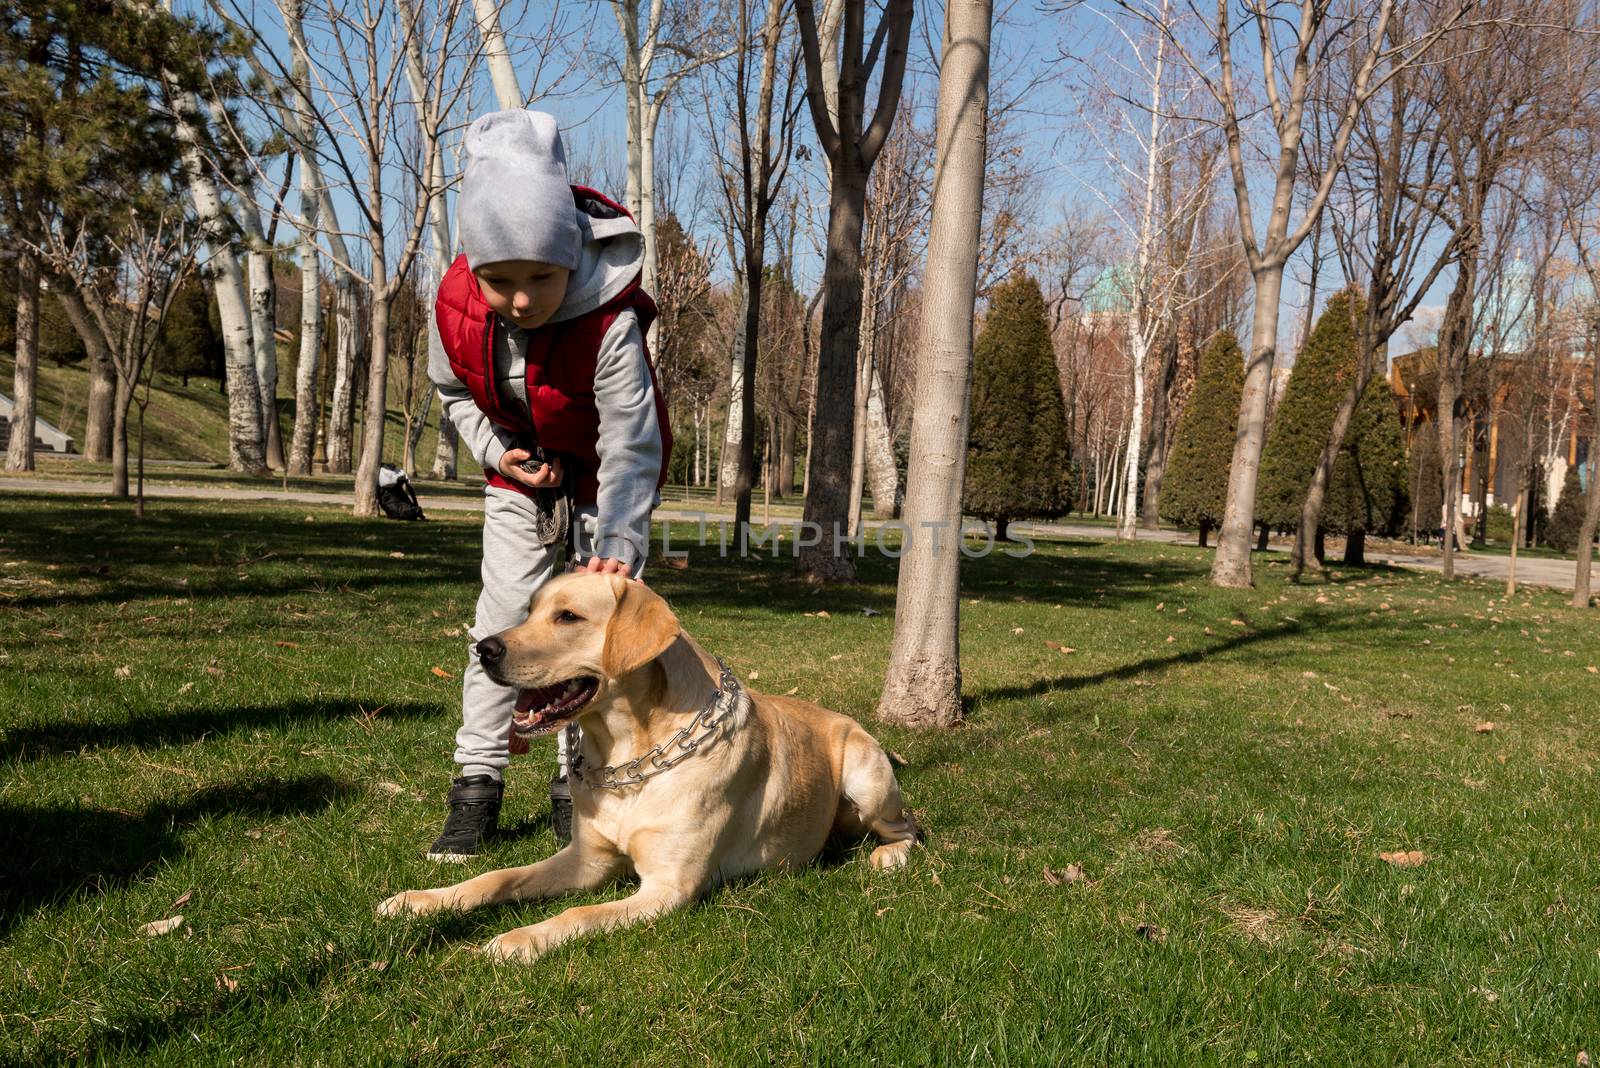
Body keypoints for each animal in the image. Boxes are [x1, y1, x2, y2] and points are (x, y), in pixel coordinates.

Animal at [376, 572, 921, 965]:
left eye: (568, 616)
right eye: (529, 611)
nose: (483, 648)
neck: (631, 760)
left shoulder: (667, 888)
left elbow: (577, 913)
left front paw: (519, 940)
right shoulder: (587, 859)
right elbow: (498, 877)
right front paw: (421, 901)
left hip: (866, 779)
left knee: (908, 827)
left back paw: (887, 857)